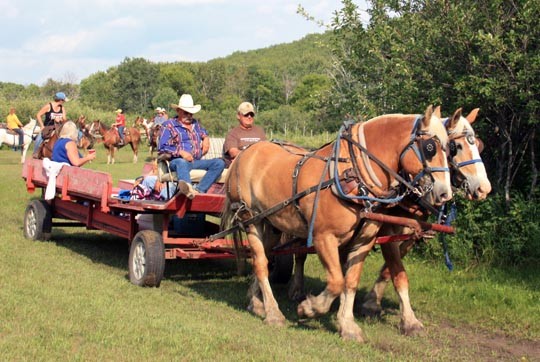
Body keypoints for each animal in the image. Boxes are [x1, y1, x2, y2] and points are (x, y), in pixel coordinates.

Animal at [219, 105, 452, 342]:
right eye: (430, 147)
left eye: (450, 148)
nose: (445, 194)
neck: (352, 176)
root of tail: (246, 152)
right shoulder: (324, 237)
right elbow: (336, 281)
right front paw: (309, 308)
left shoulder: (363, 242)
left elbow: (350, 281)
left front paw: (348, 326)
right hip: (250, 220)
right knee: (260, 263)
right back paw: (274, 313)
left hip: (272, 222)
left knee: (265, 259)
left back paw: (256, 302)